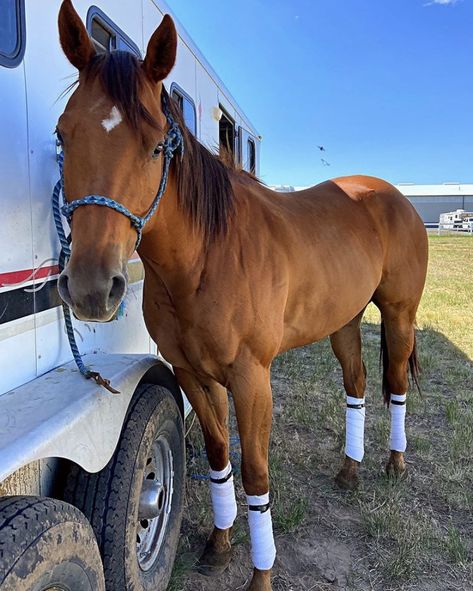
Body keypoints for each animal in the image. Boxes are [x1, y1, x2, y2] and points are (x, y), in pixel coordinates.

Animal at [55, 2, 428, 588]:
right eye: (64, 135)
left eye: (157, 144)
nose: (92, 286)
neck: (206, 259)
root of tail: (393, 196)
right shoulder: (193, 374)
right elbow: (216, 456)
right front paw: (220, 544)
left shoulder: (252, 379)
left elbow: (255, 473)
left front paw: (260, 573)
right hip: (343, 320)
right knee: (357, 383)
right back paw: (349, 471)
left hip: (398, 314)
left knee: (394, 384)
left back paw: (395, 463)